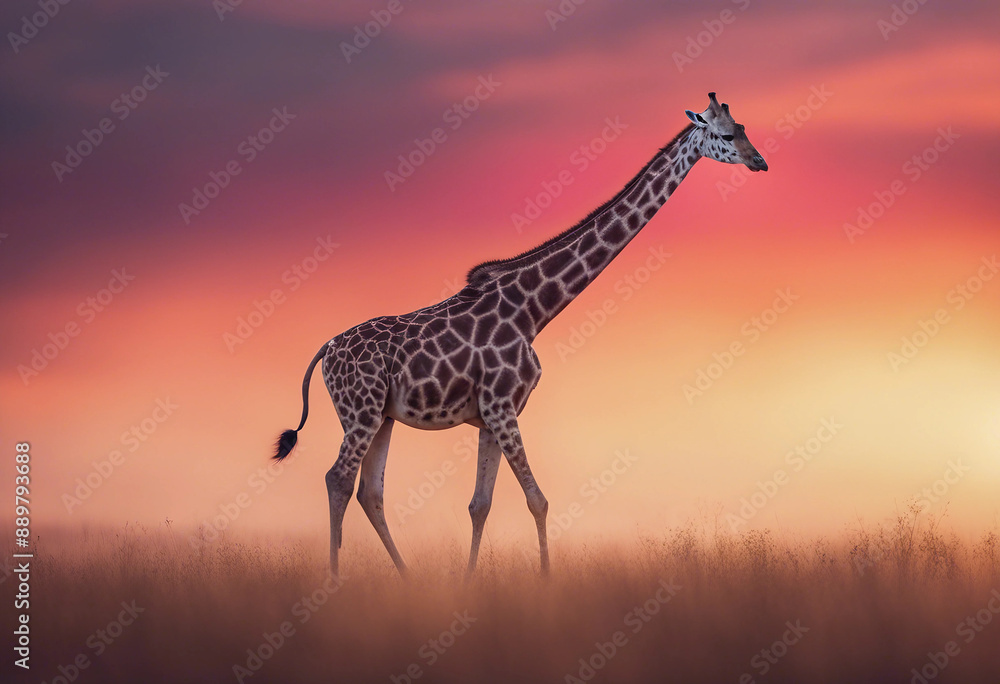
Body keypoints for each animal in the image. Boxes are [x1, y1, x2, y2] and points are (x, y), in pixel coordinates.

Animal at [273, 92, 767, 578]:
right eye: (726, 135)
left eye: (743, 129)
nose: (759, 162)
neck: (533, 309)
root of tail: (325, 351)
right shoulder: (501, 406)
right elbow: (537, 500)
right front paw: (546, 582)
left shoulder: (492, 413)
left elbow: (480, 504)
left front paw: (470, 584)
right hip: (360, 409)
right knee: (338, 478)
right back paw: (335, 581)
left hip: (382, 415)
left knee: (369, 491)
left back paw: (408, 580)